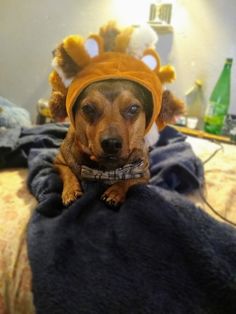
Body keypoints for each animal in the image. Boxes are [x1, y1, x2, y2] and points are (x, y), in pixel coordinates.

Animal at [53, 79, 184, 206]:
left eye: (133, 108)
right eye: (88, 108)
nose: (111, 143)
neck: (107, 169)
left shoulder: (144, 174)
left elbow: (128, 181)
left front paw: (115, 191)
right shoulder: (59, 161)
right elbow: (68, 173)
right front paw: (71, 191)